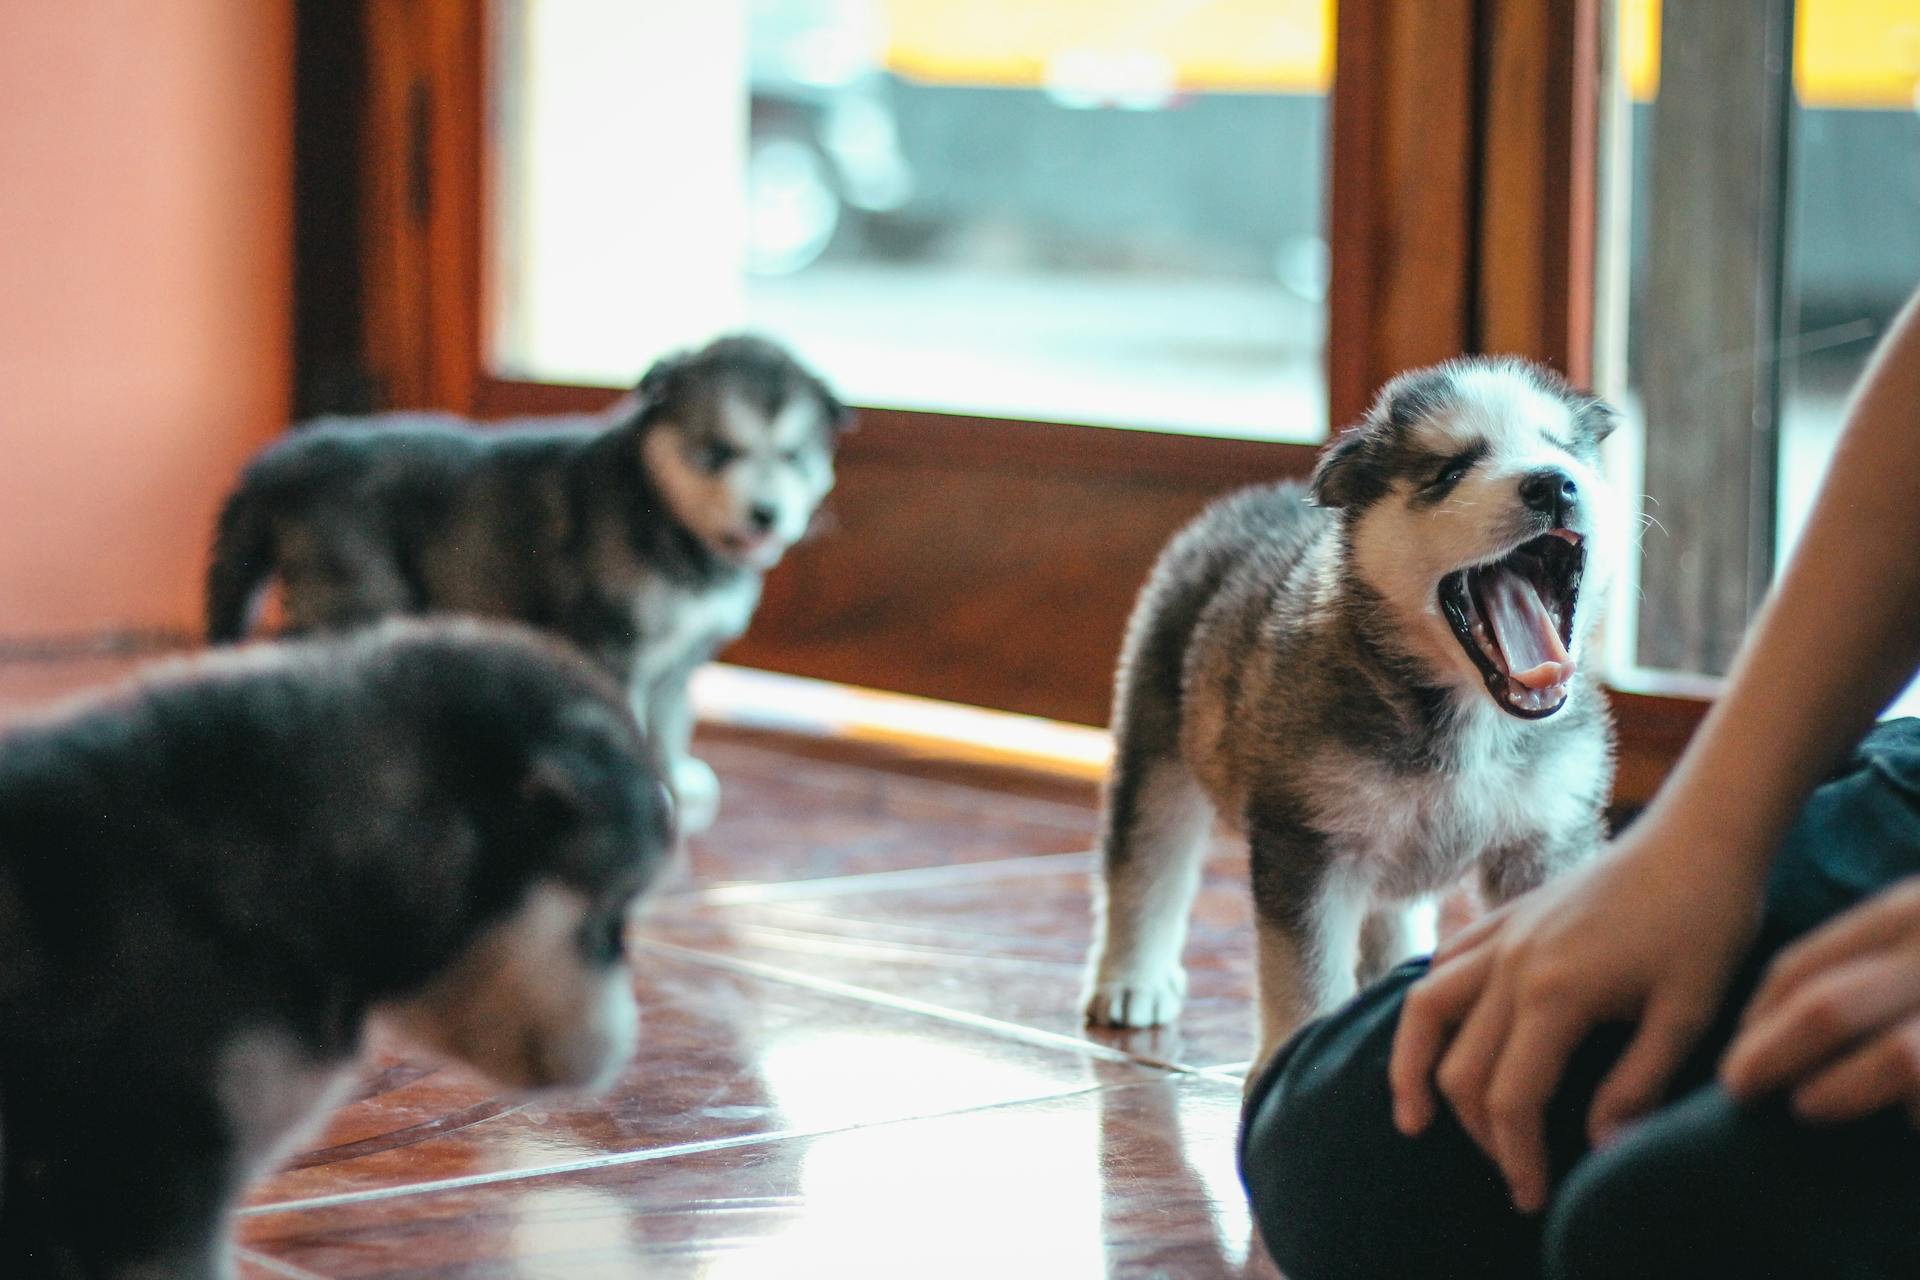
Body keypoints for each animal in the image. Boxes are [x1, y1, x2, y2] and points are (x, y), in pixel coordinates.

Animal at [200, 330, 848, 832]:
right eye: (716, 453)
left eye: (794, 457)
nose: (766, 514)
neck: (661, 509)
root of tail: (277, 460)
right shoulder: (611, 643)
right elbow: (632, 719)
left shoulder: (680, 660)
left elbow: (672, 720)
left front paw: (681, 780)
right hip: (358, 593)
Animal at [1082, 355, 1620, 1074]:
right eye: (1451, 470)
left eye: (1564, 449)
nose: (1553, 484)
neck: (1471, 722)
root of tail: (1254, 498)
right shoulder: (1309, 843)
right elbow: (1305, 973)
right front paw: (1293, 1057)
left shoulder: (1548, 839)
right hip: (1159, 741)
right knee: (1146, 862)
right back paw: (1131, 982)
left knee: (1392, 912)